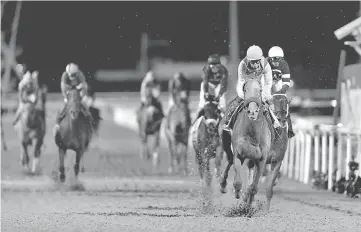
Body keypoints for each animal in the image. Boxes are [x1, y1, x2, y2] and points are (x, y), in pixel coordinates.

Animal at [218, 79, 274, 209]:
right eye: (244, 89)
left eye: (260, 90)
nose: (252, 112)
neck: (253, 134)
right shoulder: (239, 154)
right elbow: (238, 182)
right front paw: (238, 192)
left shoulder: (261, 159)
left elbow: (253, 187)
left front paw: (248, 205)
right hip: (226, 140)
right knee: (229, 160)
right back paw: (223, 184)